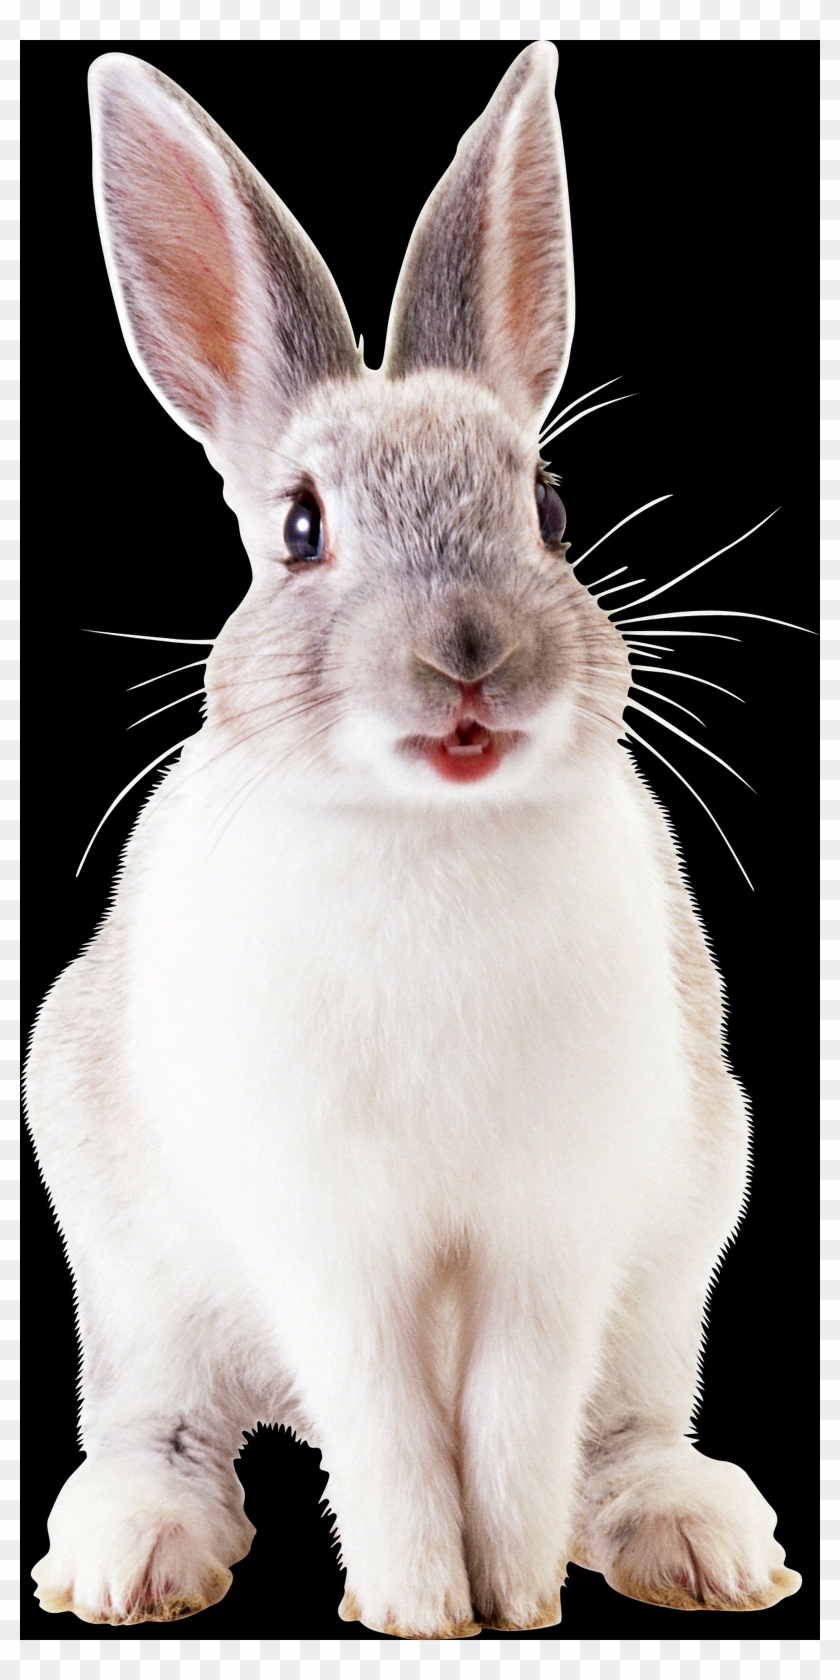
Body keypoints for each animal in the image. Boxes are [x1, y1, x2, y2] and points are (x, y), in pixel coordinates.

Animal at [26, 45, 801, 1637]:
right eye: (299, 529)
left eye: (551, 508)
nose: (469, 659)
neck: (432, 836)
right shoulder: (332, 1244)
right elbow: (389, 1431)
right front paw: (417, 1610)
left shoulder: (552, 1238)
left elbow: (512, 1431)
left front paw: (512, 1606)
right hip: (132, 1277)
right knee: (159, 1424)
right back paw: (132, 1557)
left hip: (675, 1259)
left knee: (622, 1429)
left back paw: (699, 1542)